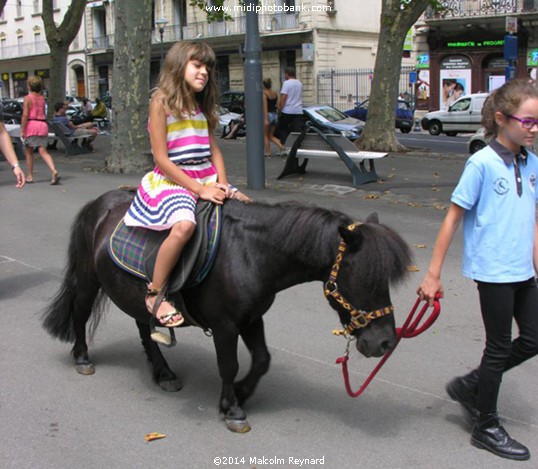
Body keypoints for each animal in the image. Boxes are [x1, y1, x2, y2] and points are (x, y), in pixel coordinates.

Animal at [43, 190, 410, 432]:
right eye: (363, 277)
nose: (384, 342)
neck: (249, 254)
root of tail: (99, 204)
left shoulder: (252, 318)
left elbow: (262, 359)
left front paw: (243, 395)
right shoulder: (225, 325)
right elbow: (229, 365)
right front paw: (232, 408)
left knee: (145, 329)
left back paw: (164, 374)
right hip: (88, 280)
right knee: (80, 313)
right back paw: (83, 358)